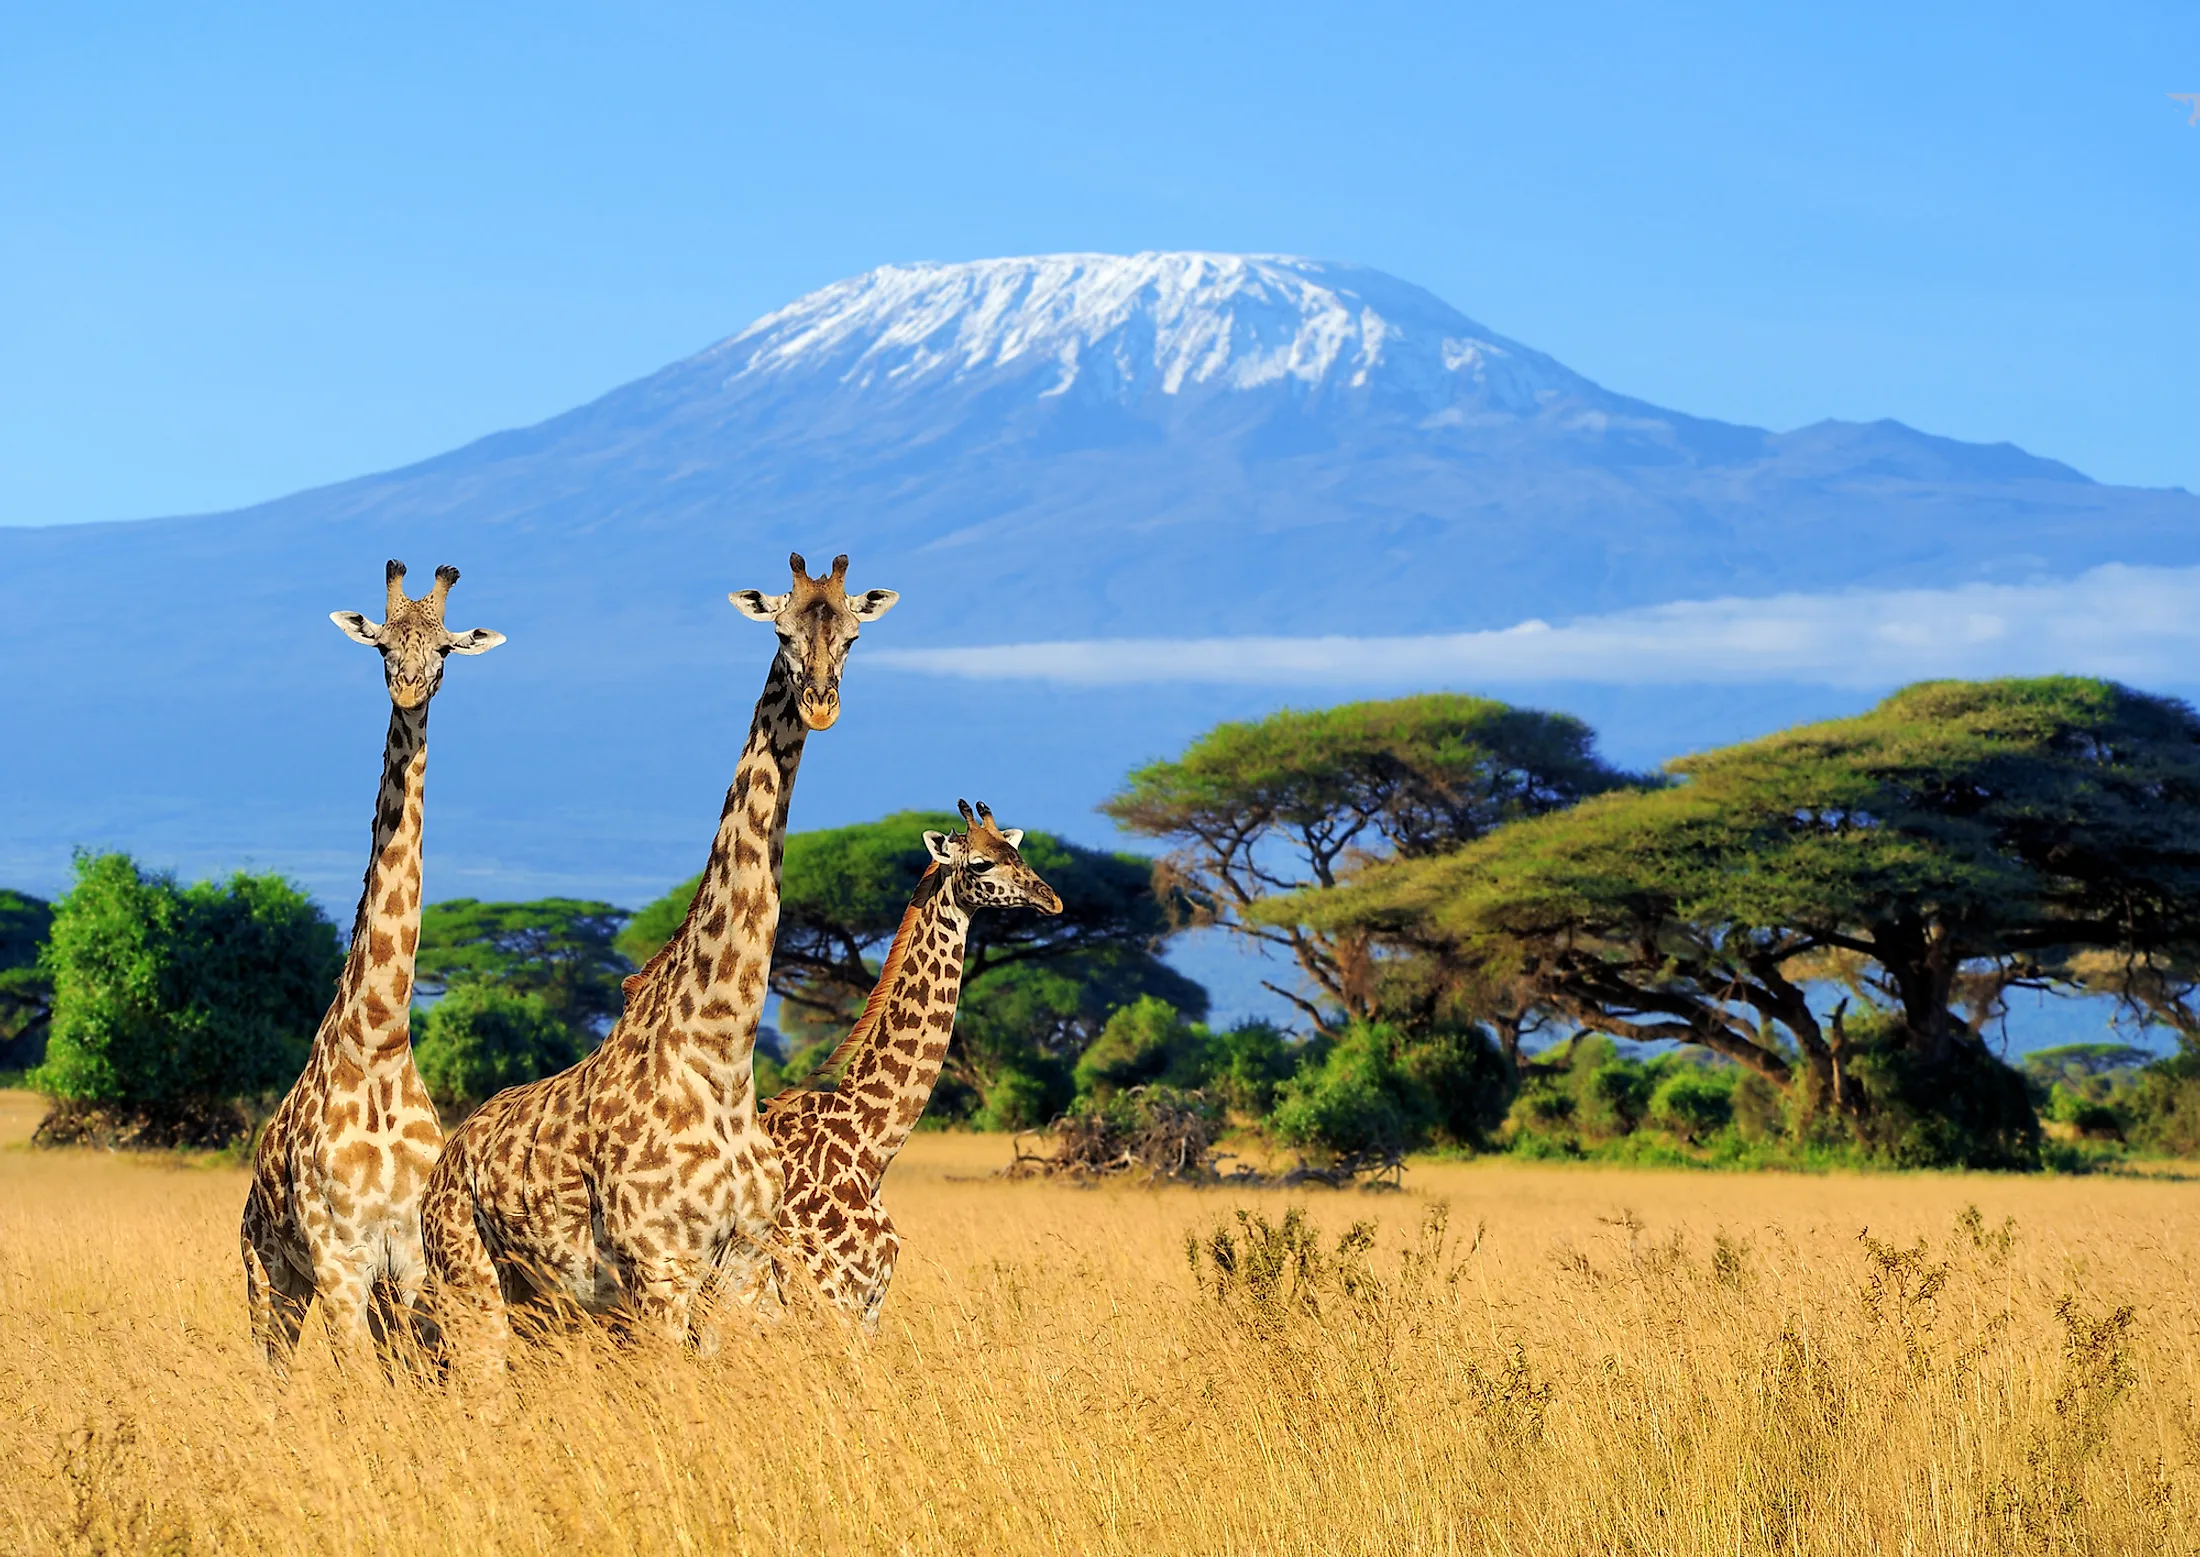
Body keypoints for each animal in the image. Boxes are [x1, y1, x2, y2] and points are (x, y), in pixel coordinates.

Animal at [238, 558, 503, 1372]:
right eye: (382, 643)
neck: (381, 1040)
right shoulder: (339, 1254)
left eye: (445, 648)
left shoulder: (409, 1257)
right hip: (269, 1274)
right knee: (274, 1365)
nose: (409, 687)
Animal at [420, 549, 893, 1372]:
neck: (721, 1055)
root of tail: (442, 1167)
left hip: (539, 1301)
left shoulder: (740, 1268)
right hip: (470, 1283)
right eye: (781, 630)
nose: (820, 704)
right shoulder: (659, 1268)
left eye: (854, 635)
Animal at [761, 804, 1060, 1328]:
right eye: (981, 863)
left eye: (1017, 852)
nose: (1053, 900)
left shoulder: (869, 1305)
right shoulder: (824, 1299)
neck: (868, 1148)